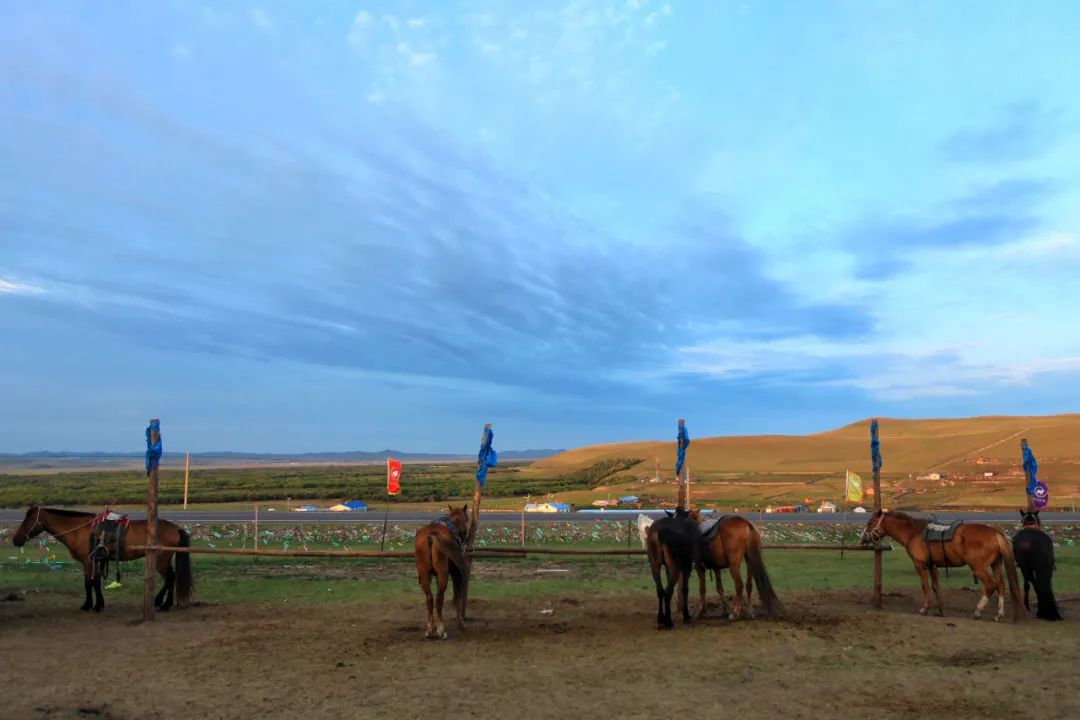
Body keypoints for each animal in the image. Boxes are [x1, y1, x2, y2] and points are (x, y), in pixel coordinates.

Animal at [11, 505, 194, 613]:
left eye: (27, 520)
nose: (16, 540)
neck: (80, 530)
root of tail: (176, 528)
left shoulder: (88, 562)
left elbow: (89, 583)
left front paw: (88, 605)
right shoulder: (97, 561)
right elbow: (96, 582)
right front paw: (99, 604)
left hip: (161, 560)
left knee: (170, 578)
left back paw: (162, 603)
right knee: (172, 578)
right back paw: (164, 603)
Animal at [412, 505, 468, 639]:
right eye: (467, 519)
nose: (464, 536)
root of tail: (431, 536)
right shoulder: (455, 575)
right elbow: (456, 596)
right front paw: (460, 623)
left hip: (424, 574)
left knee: (429, 598)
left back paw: (429, 629)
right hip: (443, 574)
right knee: (439, 598)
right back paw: (441, 630)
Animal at [859, 509, 1019, 621]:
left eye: (869, 523)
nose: (863, 540)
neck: (913, 534)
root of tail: (995, 532)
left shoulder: (920, 565)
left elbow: (925, 586)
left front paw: (925, 609)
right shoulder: (933, 566)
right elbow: (936, 586)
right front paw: (940, 610)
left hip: (978, 567)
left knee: (991, 585)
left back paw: (978, 611)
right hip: (995, 564)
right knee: (1001, 585)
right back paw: (999, 615)